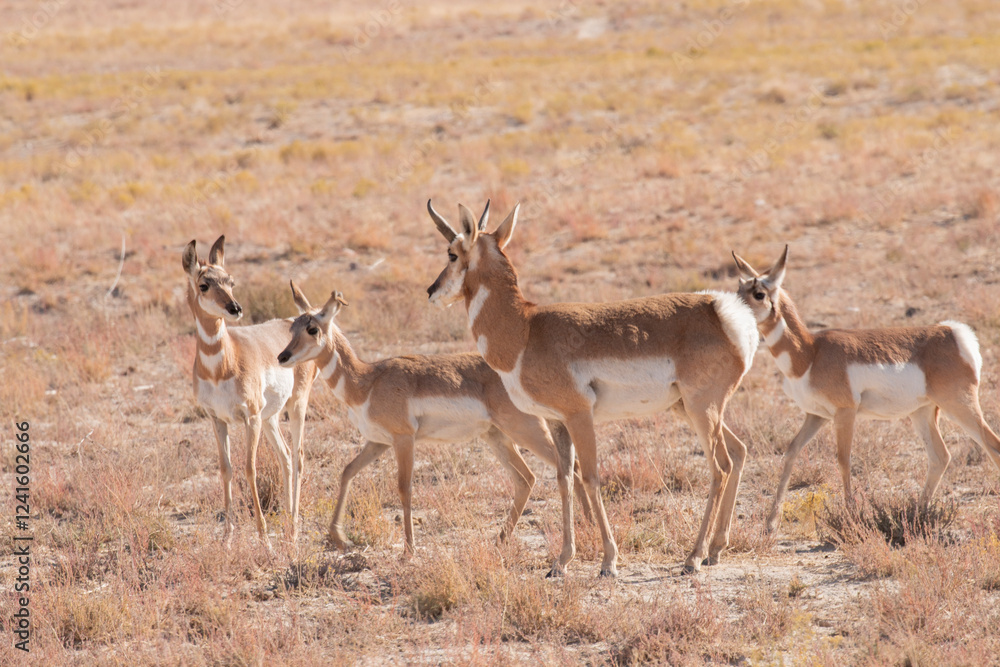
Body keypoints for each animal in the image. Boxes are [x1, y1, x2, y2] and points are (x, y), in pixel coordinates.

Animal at [182, 236, 315, 547]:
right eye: (204, 284)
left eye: (230, 281)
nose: (235, 308)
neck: (222, 366)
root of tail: (292, 322)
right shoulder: (217, 420)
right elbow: (226, 469)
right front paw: (226, 539)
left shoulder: (249, 418)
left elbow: (249, 468)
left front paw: (264, 540)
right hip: (271, 418)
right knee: (285, 456)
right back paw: (288, 528)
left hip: (295, 406)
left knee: (298, 457)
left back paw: (293, 532)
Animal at [277, 282, 594, 556]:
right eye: (291, 326)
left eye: (312, 328)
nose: (282, 357)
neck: (368, 381)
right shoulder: (378, 442)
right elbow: (346, 472)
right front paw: (339, 538)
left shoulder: (403, 440)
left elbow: (404, 488)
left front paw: (409, 549)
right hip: (497, 438)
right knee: (527, 478)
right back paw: (501, 539)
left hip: (525, 431)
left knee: (571, 468)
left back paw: (587, 529)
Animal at [426, 200, 759, 576]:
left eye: (452, 253)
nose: (431, 291)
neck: (525, 329)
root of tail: (722, 311)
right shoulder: (557, 422)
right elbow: (564, 479)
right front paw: (560, 562)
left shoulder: (579, 416)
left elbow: (590, 477)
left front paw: (608, 562)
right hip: (691, 408)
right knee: (738, 452)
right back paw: (715, 549)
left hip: (703, 410)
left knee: (720, 467)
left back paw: (693, 557)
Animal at [732, 246, 1000, 533]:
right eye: (739, 288)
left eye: (759, 293)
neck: (810, 353)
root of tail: (953, 331)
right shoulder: (816, 416)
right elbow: (791, 451)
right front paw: (770, 524)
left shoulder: (845, 413)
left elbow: (843, 459)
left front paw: (850, 517)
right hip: (923, 413)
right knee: (940, 456)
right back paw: (916, 515)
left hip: (959, 406)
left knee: (991, 445)